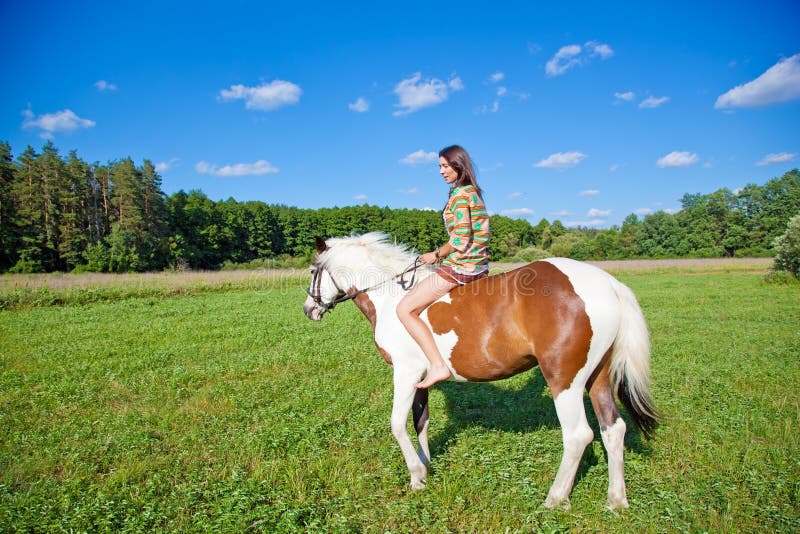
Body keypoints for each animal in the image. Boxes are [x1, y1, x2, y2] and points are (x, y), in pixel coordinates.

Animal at [304, 233, 660, 510]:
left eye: (311, 271)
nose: (309, 310)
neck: (393, 299)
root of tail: (608, 283)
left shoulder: (405, 372)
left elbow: (397, 425)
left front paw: (416, 474)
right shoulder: (422, 379)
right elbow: (421, 421)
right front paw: (426, 468)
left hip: (564, 379)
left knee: (578, 435)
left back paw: (554, 500)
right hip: (597, 378)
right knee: (613, 430)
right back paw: (616, 501)